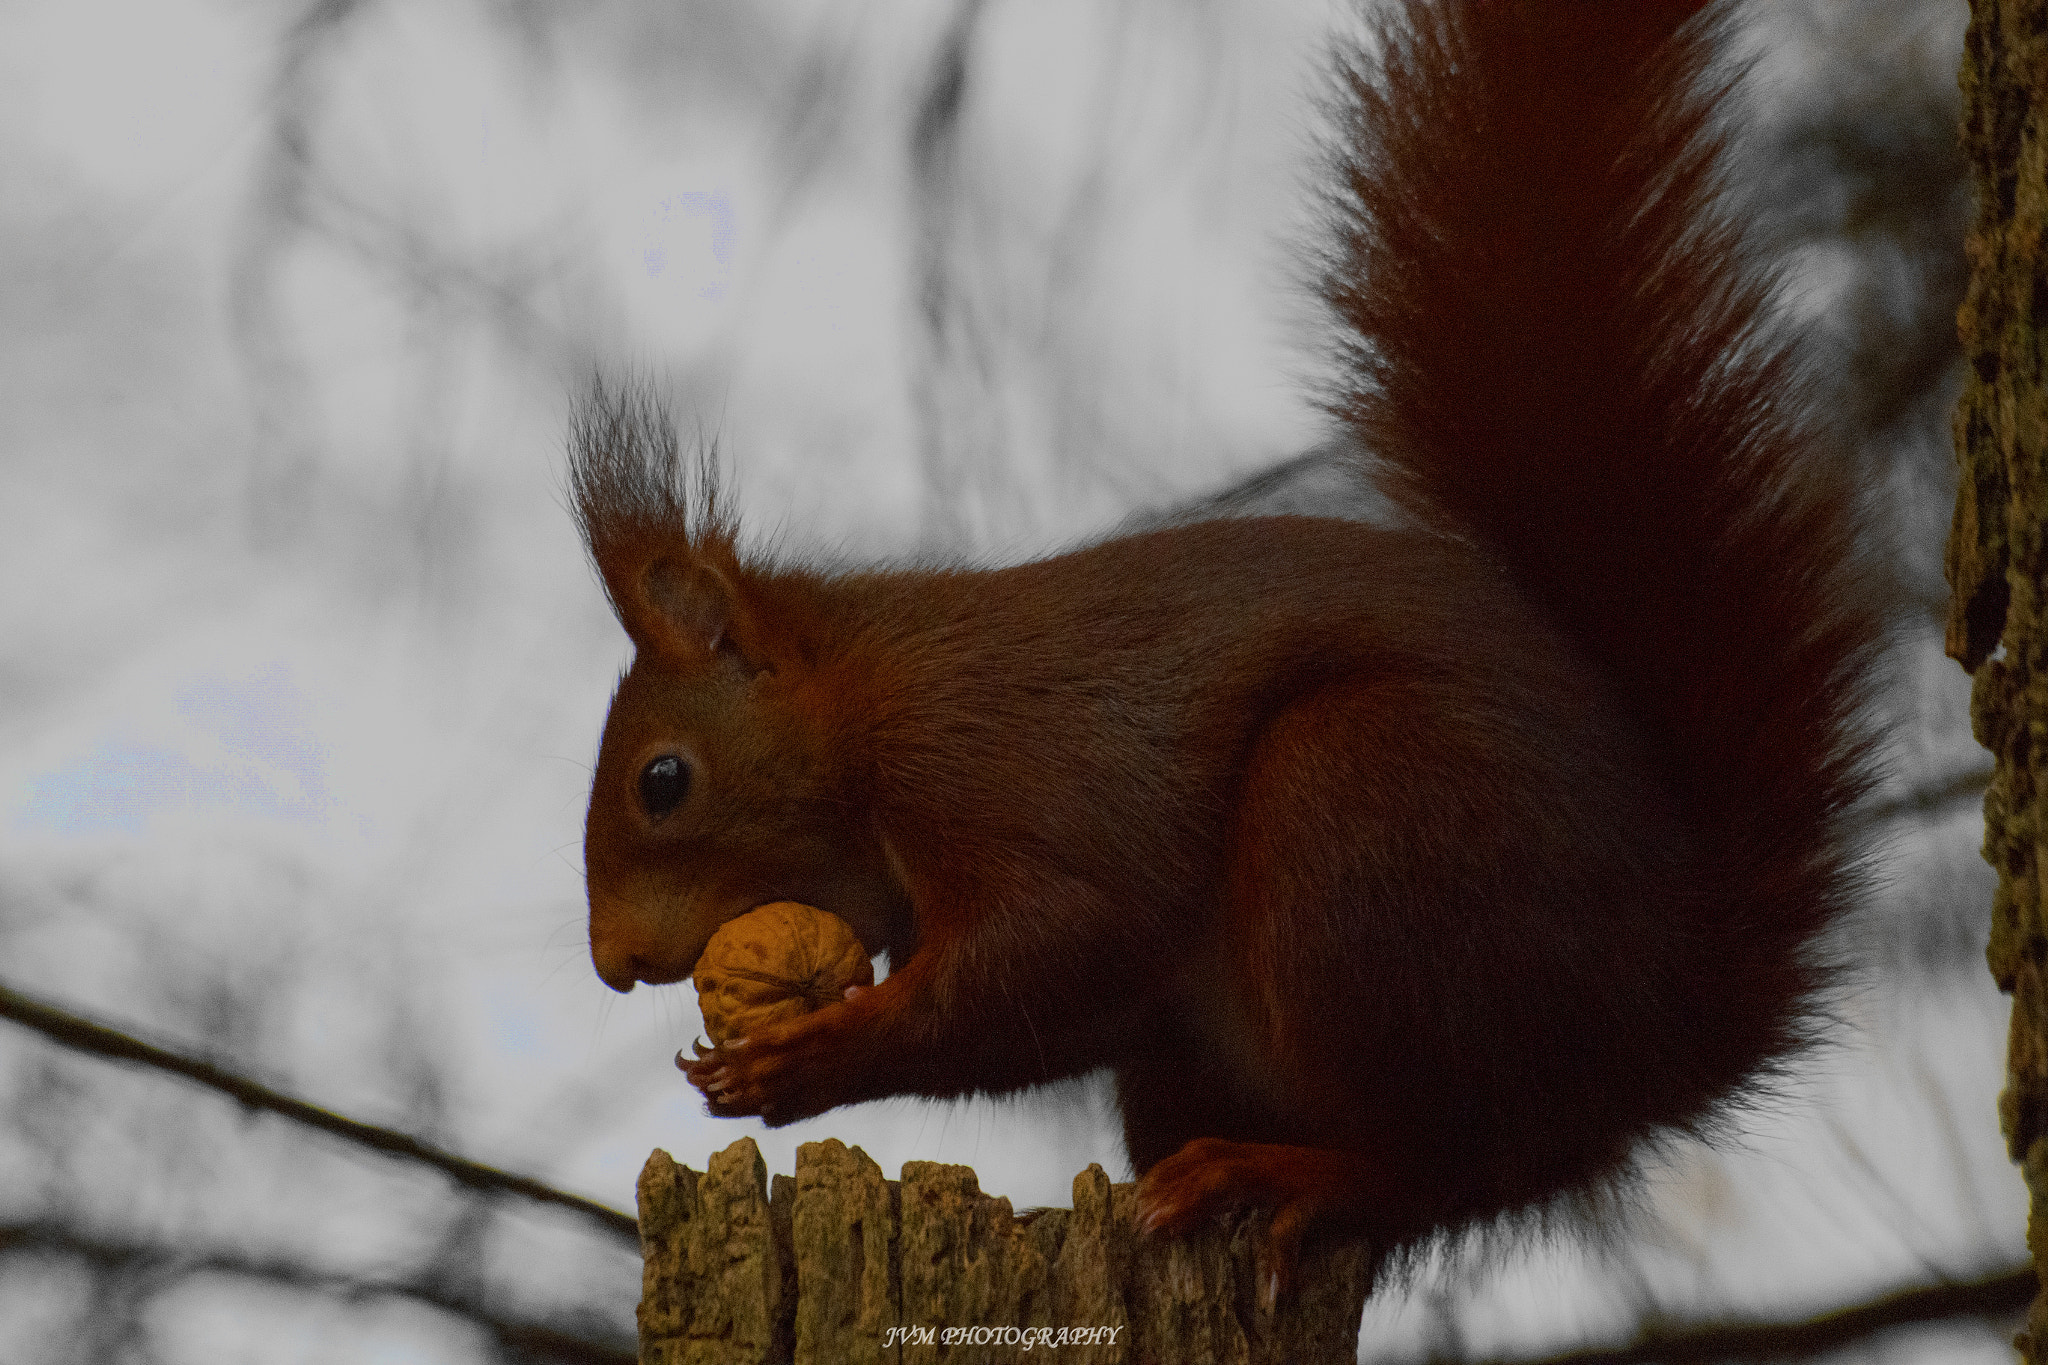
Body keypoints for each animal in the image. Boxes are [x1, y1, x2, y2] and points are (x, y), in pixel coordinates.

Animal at [569, 0, 1875, 1301]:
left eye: (662, 781)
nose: (612, 964)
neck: (864, 702)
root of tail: (1674, 1016)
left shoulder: (990, 766)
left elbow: (1064, 942)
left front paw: (812, 1056)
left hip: (1364, 816)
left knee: (1447, 1157)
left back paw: (1288, 1173)